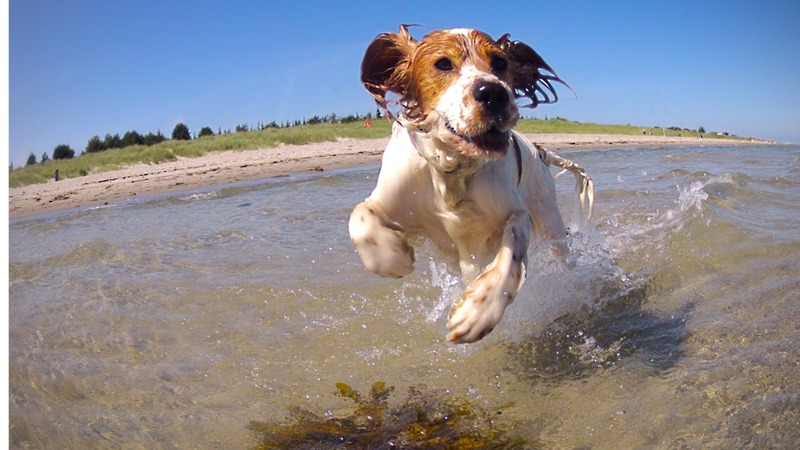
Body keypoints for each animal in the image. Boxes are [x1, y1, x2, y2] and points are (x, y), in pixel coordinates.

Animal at [346, 27, 592, 344]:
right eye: (442, 64)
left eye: (500, 63)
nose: (493, 93)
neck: (453, 172)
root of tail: (540, 150)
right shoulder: (390, 200)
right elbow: (361, 216)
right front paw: (393, 258)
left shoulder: (515, 213)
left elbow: (511, 256)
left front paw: (477, 312)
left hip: (550, 219)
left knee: (565, 257)